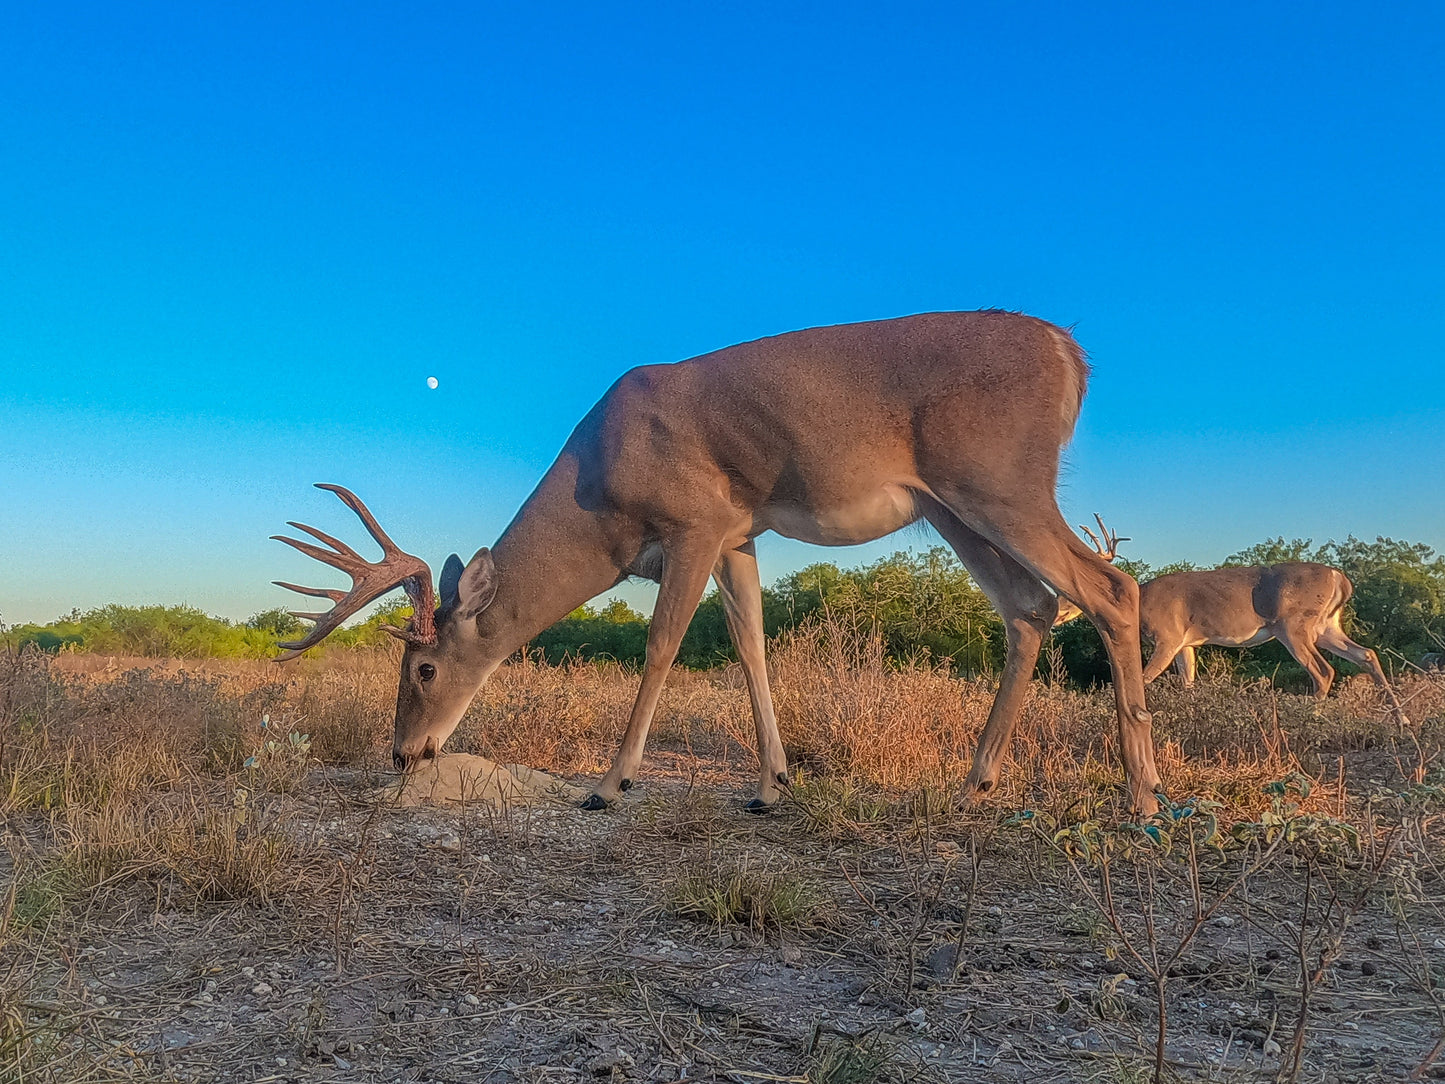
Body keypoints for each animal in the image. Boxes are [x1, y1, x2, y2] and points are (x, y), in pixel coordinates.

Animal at [275, 313, 1167, 815]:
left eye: (422, 666)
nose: (402, 754)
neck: (598, 480)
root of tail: (1067, 351)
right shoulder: (741, 535)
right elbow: (749, 646)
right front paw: (770, 786)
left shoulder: (695, 522)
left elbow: (663, 645)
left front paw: (609, 784)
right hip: (951, 505)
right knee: (1030, 608)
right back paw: (971, 783)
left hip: (999, 482)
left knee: (1110, 589)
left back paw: (1142, 796)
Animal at [1057, 520, 1404, 725]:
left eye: (1073, 590)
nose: (1058, 612)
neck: (1140, 603)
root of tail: (1339, 577)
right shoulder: (1186, 643)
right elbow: (1188, 683)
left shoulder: (1168, 636)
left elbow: (1143, 678)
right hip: (1326, 625)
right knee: (1366, 654)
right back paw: (1401, 718)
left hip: (1293, 624)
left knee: (1324, 670)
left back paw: (1308, 716)